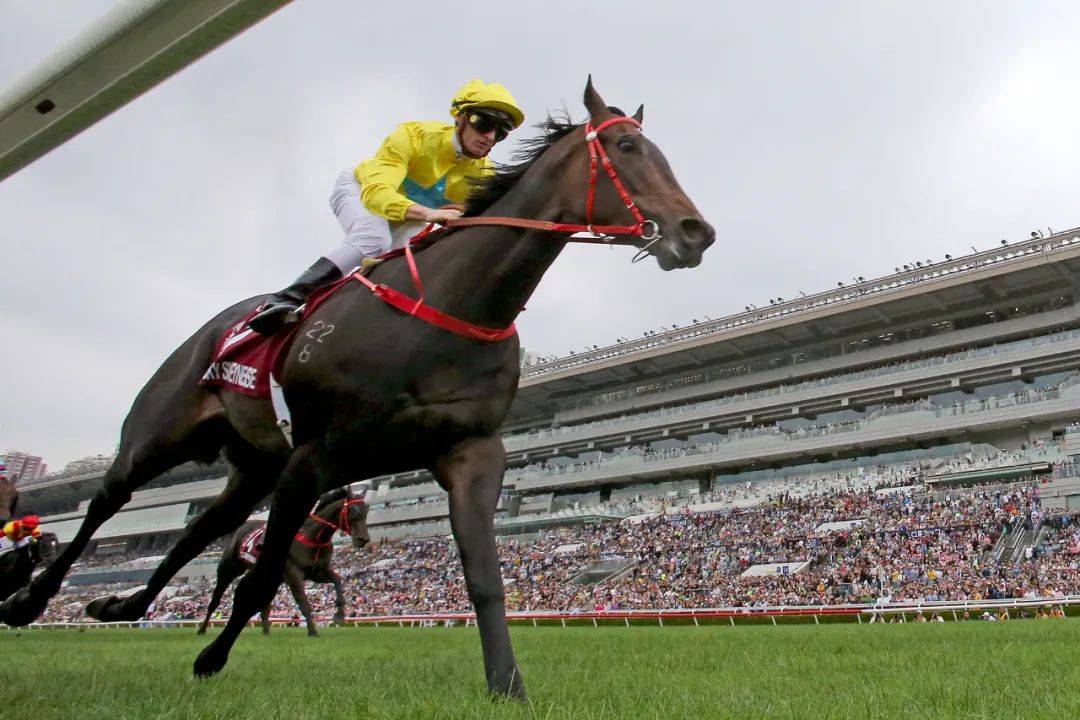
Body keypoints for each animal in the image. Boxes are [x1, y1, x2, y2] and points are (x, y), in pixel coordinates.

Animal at [194, 486, 369, 636]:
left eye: (366, 510)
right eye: (352, 510)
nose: (364, 539)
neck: (313, 536)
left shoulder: (317, 571)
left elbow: (338, 580)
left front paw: (339, 615)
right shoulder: (294, 573)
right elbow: (304, 602)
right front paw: (313, 632)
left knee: (264, 606)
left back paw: (266, 632)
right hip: (228, 570)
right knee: (215, 599)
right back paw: (202, 629)